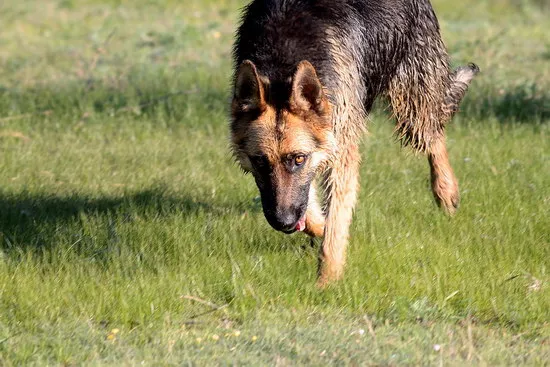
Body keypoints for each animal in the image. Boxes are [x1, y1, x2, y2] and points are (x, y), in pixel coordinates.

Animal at [229, 0, 478, 288]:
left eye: (298, 159)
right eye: (259, 161)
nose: (284, 223)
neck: (282, 65)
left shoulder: (340, 151)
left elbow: (335, 224)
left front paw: (327, 282)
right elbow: (313, 209)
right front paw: (320, 229)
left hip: (411, 103)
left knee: (434, 133)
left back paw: (445, 190)